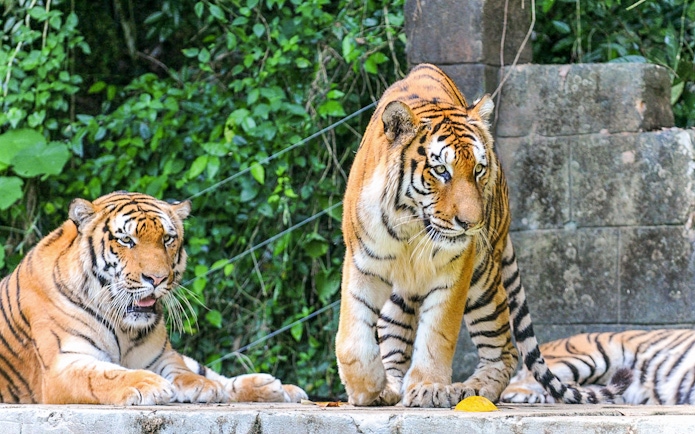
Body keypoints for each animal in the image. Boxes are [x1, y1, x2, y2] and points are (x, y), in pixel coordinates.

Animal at [0, 191, 307, 405]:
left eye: (167, 239)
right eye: (126, 240)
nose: (157, 279)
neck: (123, 327)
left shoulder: (161, 354)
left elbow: (182, 370)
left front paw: (200, 386)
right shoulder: (64, 365)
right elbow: (102, 375)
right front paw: (149, 384)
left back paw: (279, 388)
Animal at [334, 63, 631, 407]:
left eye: (478, 169)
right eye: (441, 171)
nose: (472, 223)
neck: (412, 228)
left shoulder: (455, 269)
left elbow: (438, 333)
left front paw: (428, 387)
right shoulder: (362, 261)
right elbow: (353, 335)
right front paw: (366, 388)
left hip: (485, 281)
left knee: (505, 350)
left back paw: (472, 389)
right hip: (403, 293)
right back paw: (392, 386)